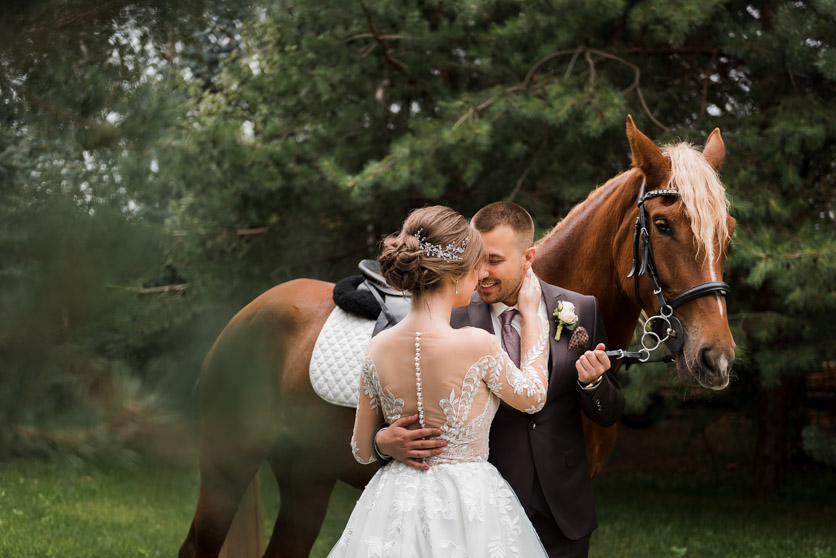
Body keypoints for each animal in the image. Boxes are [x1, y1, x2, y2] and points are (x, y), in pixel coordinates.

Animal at [180, 116, 736, 556]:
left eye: (726, 232)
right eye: (662, 225)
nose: (716, 358)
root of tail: (246, 315)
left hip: (306, 480)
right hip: (228, 467)